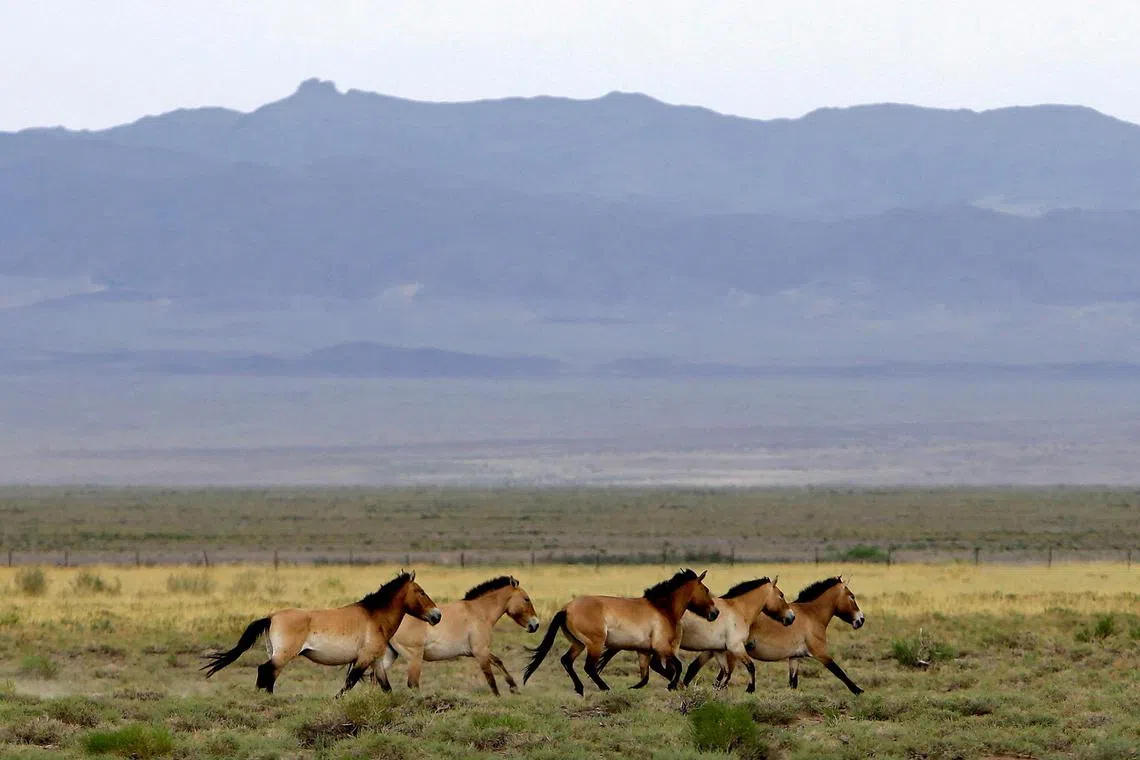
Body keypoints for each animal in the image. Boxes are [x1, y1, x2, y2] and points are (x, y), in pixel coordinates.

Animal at [201, 570, 441, 696]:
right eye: (421, 592)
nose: (437, 616)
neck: (375, 617)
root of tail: (271, 616)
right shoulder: (363, 658)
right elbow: (349, 683)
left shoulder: (376, 660)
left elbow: (386, 687)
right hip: (283, 655)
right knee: (265, 671)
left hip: (277, 655)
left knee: (270, 675)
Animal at [377, 575, 540, 696]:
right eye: (526, 599)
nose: (535, 625)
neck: (479, 612)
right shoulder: (480, 651)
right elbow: (491, 679)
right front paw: (499, 698)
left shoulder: (475, 651)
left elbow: (498, 661)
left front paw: (514, 687)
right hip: (414, 657)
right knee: (412, 683)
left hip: (389, 656)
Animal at [523, 568, 719, 695]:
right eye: (706, 590)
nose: (715, 613)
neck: (662, 609)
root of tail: (566, 609)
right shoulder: (662, 647)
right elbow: (676, 666)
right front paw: (672, 686)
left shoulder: (644, 651)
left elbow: (648, 675)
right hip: (595, 644)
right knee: (589, 667)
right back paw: (604, 688)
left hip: (578, 644)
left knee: (566, 661)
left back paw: (580, 689)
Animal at [594, 576, 796, 691]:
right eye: (781, 595)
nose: (791, 617)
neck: (738, 610)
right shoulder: (735, 647)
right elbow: (749, 667)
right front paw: (750, 689)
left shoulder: (718, 650)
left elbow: (724, 672)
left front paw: (718, 688)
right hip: (668, 645)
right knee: (659, 665)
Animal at [684, 576, 865, 695]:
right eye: (852, 596)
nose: (861, 619)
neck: (811, 615)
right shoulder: (821, 654)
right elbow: (839, 672)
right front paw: (858, 690)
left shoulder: (794, 658)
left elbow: (793, 682)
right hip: (732, 653)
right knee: (721, 676)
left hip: (714, 648)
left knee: (696, 668)